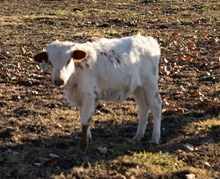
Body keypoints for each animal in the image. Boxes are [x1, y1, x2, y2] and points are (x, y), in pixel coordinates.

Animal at [34, 35, 162, 152]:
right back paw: (138, 136)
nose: (59, 80)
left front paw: (83, 146)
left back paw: (155, 138)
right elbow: (84, 116)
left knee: (156, 106)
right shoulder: (80, 98)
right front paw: (89, 138)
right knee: (143, 108)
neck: (75, 76)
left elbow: (85, 121)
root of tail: (148, 39)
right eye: (50, 62)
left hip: (150, 85)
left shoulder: (89, 95)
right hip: (137, 88)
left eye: (68, 60)